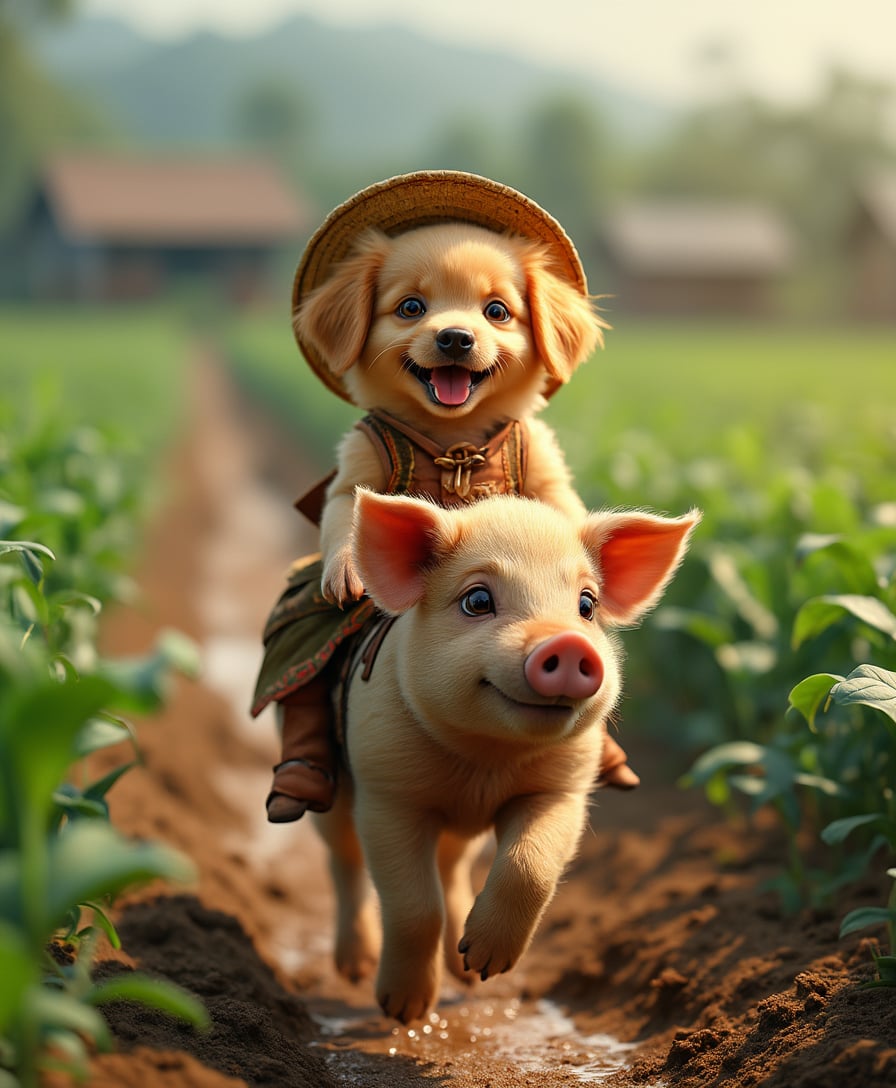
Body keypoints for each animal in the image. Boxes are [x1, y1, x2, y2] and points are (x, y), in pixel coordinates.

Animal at [313, 489, 700, 1022]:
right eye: (477, 601)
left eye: (587, 605)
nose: (569, 643)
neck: (485, 764)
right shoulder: (387, 793)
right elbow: (414, 907)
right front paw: (404, 1012)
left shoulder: (562, 790)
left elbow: (530, 867)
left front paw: (485, 965)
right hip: (331, 790)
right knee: (343, 858)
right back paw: (356, 969)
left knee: (451, 868)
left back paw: (463, 972)